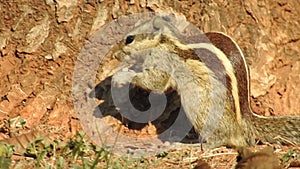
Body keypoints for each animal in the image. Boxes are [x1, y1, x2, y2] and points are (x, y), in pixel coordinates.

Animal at [110, 15, 300, 148]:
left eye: (129, 39)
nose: (115, 55)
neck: (167, 40)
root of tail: (244, 123)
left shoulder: (162, 60)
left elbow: (155, 83)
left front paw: (121, 76)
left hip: (199, 105)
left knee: (218, 139)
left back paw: (189, 145)